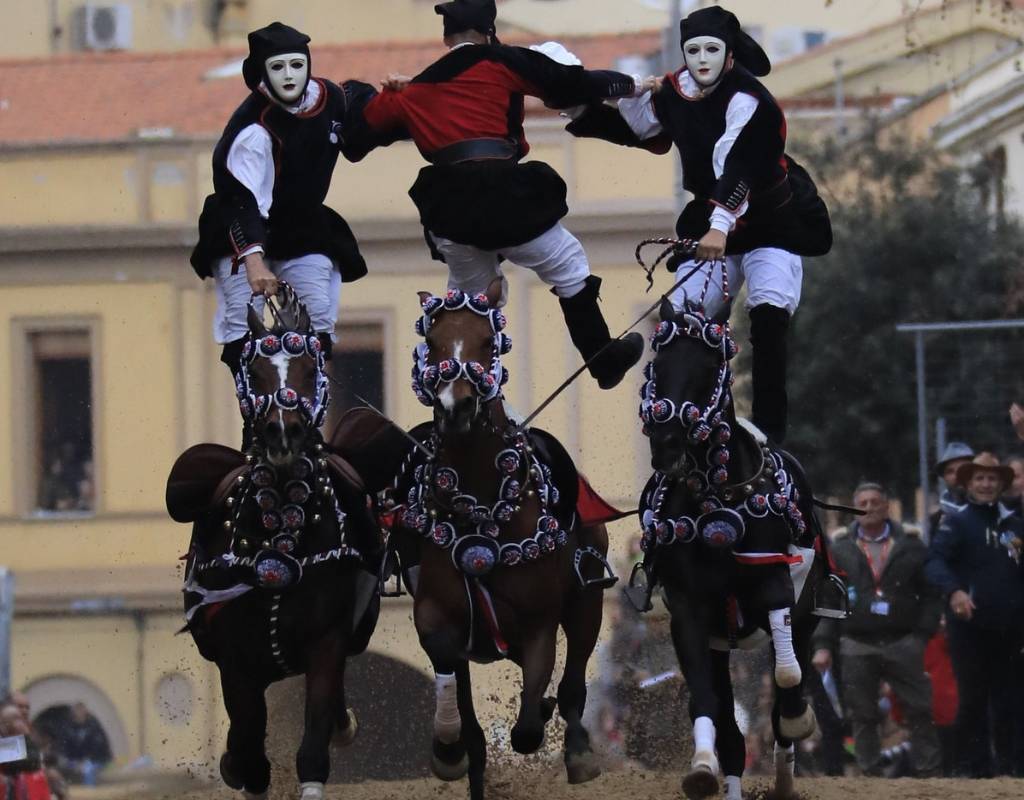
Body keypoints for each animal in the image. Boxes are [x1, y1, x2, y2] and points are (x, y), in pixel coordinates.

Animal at [165, 284, 382, 794]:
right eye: (255, 372)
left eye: (310, 369)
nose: (284, 432)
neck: (281, 532)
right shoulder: (236, 664)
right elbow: (248, 753)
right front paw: (232, 764)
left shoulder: (326, 643)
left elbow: (312, 749)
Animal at [387, 280, 614, 798]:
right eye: (432, 344)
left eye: (488, 343)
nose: (456, 408)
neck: (482, 511)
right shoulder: (436, 613)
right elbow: (452, 683)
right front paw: (448, 747)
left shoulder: (539, 624)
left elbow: (529, 725)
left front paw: (543, 717)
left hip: (587, 602)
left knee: (572, 683)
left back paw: (577, 748)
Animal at [634, 299, 835, 798]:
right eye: (657, 364)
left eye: (709, 368)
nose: (665, 440)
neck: (717, 499)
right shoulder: (689, 609)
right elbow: (706, 700)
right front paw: (702, 769)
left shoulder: (776, 579)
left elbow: (787, 675)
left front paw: (798, 720)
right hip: (720, 641)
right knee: (729, 723)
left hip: (805, 617)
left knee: (788, 682)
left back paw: (785, 774)